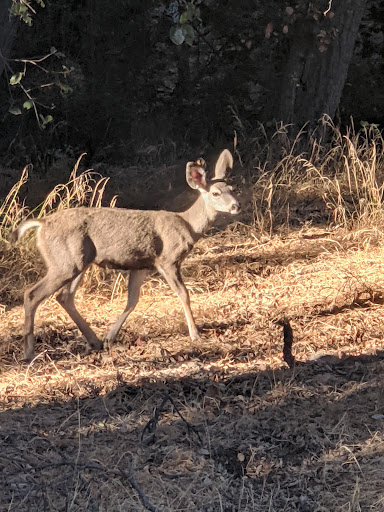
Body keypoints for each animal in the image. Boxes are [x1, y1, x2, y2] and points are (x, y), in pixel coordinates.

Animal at [10, 150, 238, 362]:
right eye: (215, 193)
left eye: (232, 189)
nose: (236, 205)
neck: (189, 225)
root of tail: (42, 224)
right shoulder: (167, 259)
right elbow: (183, 294)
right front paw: (195, 334)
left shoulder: (142, 266)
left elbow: (132, 301)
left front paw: (110, 336)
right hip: (65, 262)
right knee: (32, 294)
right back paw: (29, 353)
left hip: (78, 262)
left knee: (64, 296)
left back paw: (94, 341)